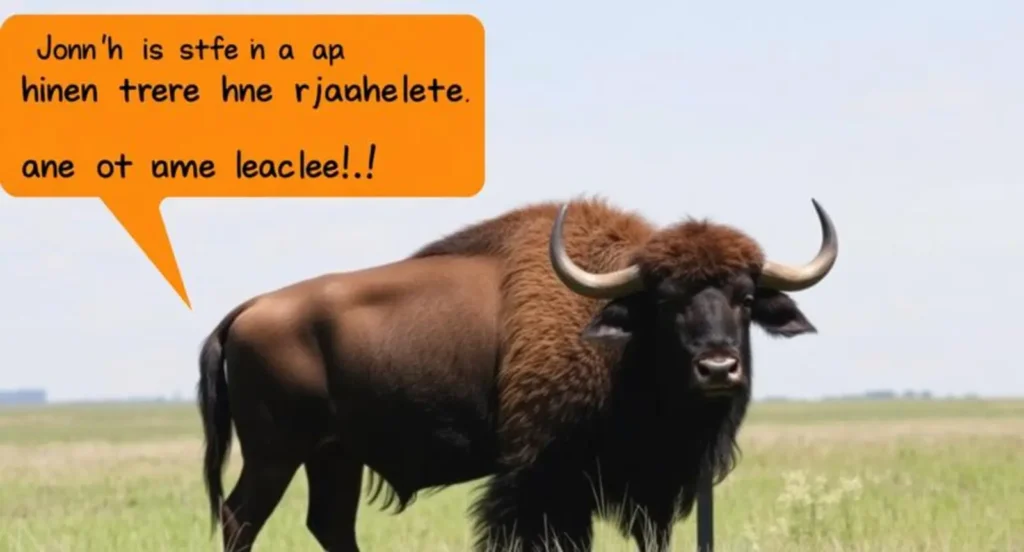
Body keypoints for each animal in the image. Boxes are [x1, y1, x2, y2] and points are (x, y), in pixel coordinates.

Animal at [197, 196, 838, 551]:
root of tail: (247, 310)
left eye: (746, 297)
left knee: (329, 525)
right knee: (240, 518)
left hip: (334, 457)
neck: (617, 342)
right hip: (276, 455)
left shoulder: (649, 490)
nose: (718, 367)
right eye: (665, 299)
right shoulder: (543, 479)